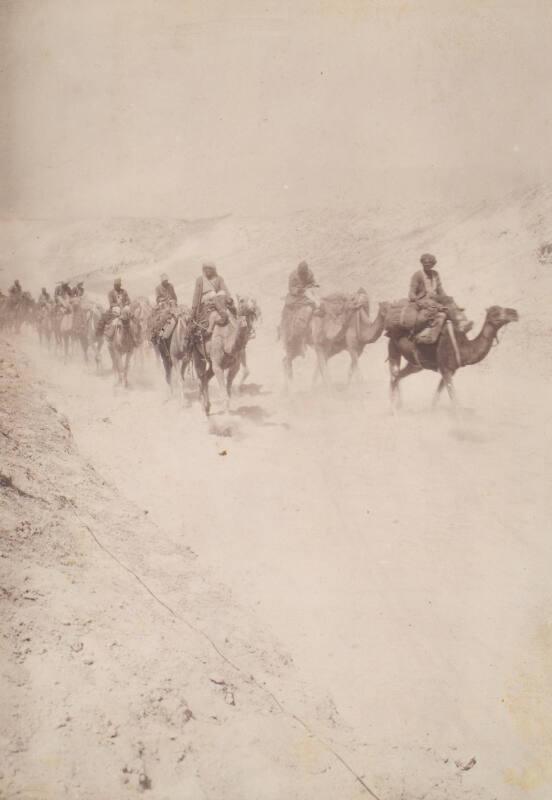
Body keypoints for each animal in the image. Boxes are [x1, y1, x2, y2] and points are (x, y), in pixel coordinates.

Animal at [388, 304, 516, 410]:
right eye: (496, 312)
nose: (514, 312)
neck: (463, 347)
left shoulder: (450, 371)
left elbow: (437, 396)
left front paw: (432, 411)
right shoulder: (445, 369)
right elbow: (454, 400)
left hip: (415, 364)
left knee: (399, 376)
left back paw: (399, 405)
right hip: (394, 350)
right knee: (393, 376)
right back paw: (393, 409)